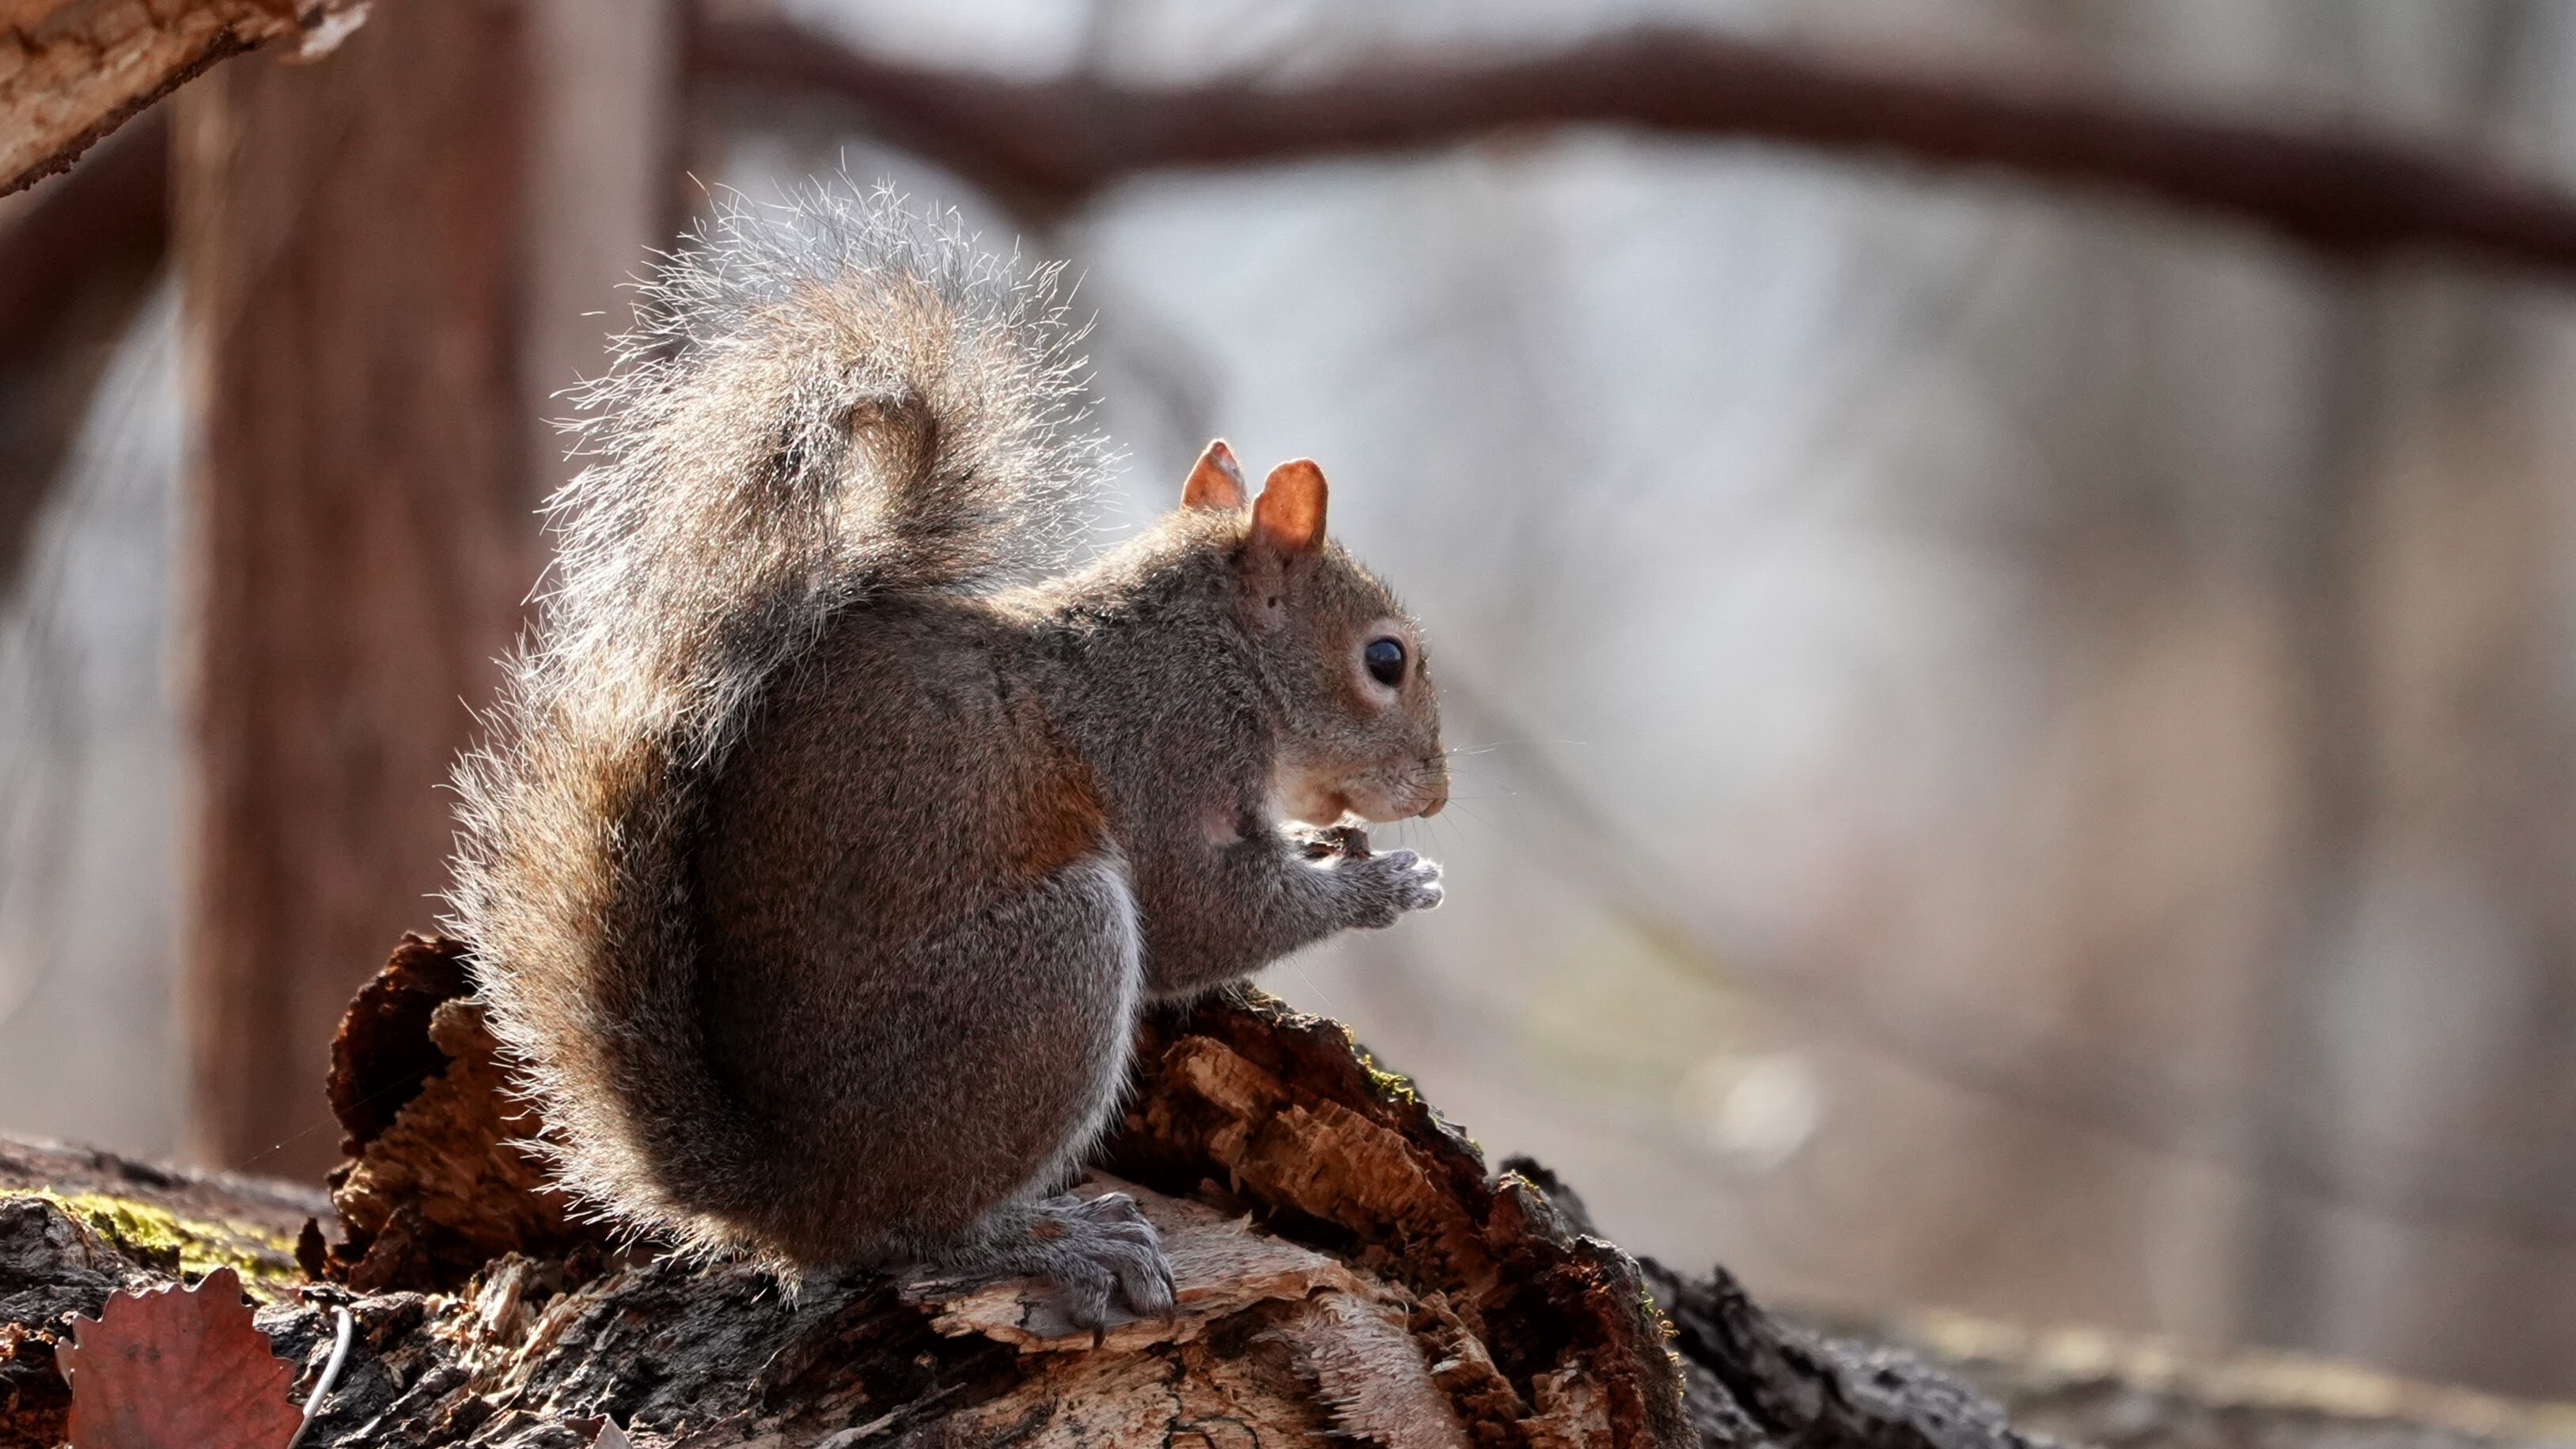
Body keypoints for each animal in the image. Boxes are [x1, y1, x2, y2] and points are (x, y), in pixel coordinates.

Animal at [444, 186, 1449, 1330]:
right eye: (1384, 660)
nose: (1438, 790)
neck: (1212, 643)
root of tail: (788, 1193)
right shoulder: (1166, 750)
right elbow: (1202, 913)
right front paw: (1383, 882)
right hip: (1047, 970)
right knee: (905, 1235)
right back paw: (1051, 1241)